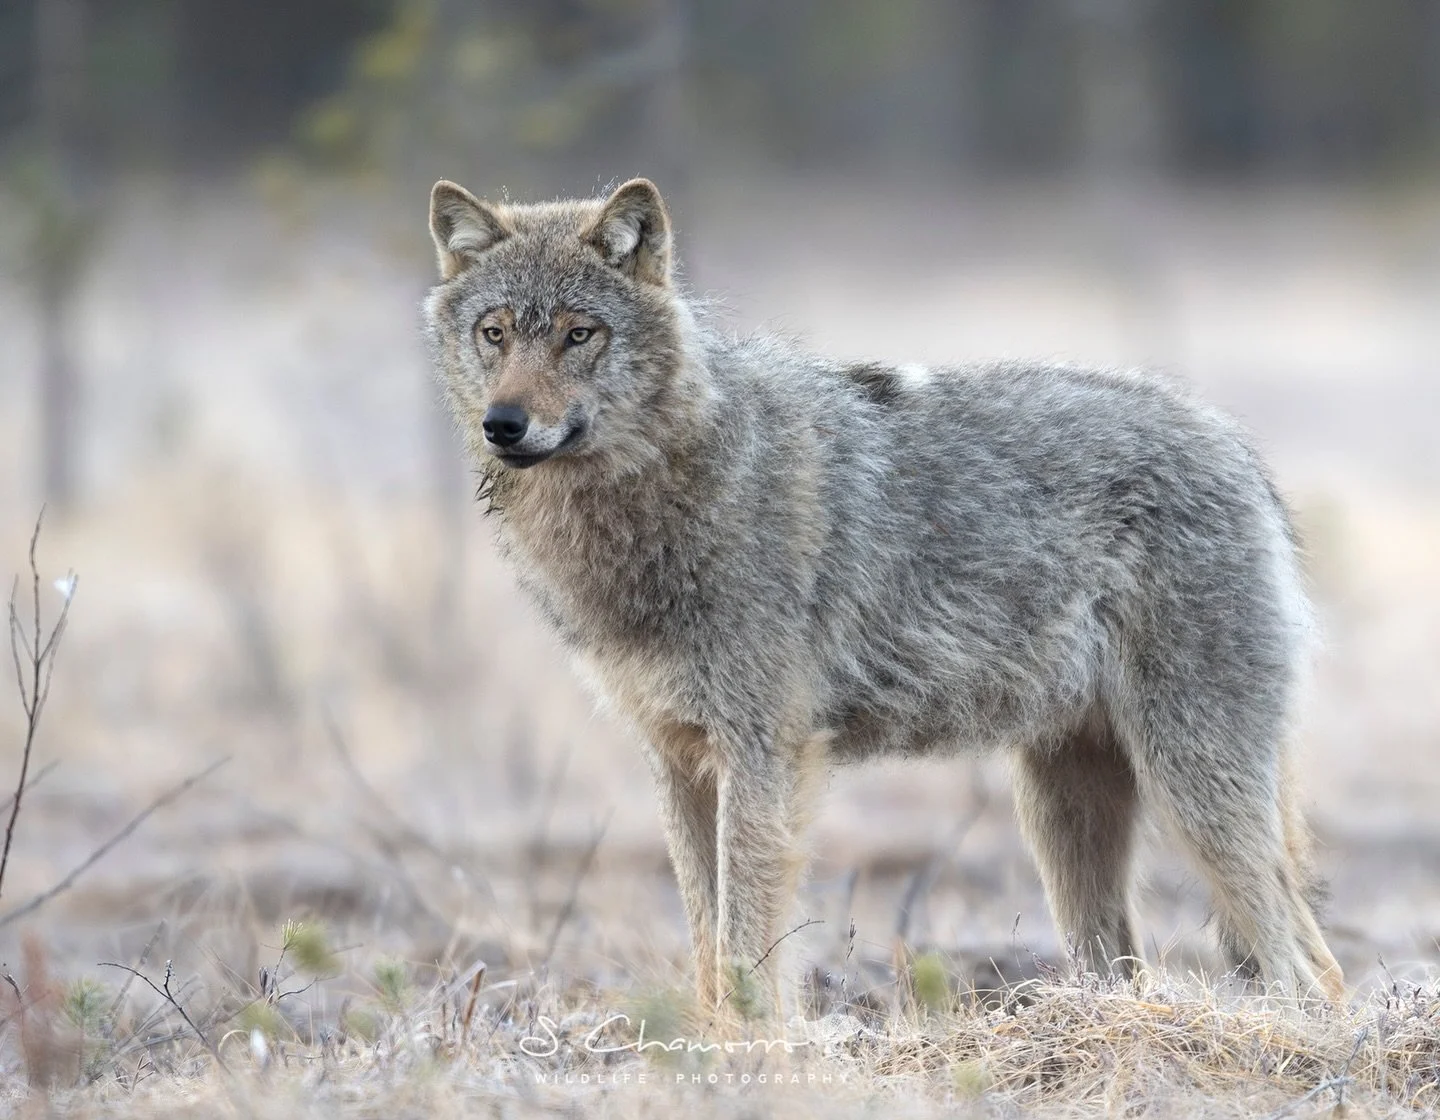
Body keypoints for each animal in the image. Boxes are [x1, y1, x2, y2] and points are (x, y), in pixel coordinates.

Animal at [422, 177, 1345, 1011]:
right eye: (494, 334)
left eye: (579, 334)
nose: (503, 424)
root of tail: (1237, 448)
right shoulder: (678, 760)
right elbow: (708, 952)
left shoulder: (764, 757)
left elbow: (747, 954)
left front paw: (757, 1061)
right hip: (1066, 819)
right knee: (1165, 967)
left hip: (1191, 792)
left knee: (1308, 972)